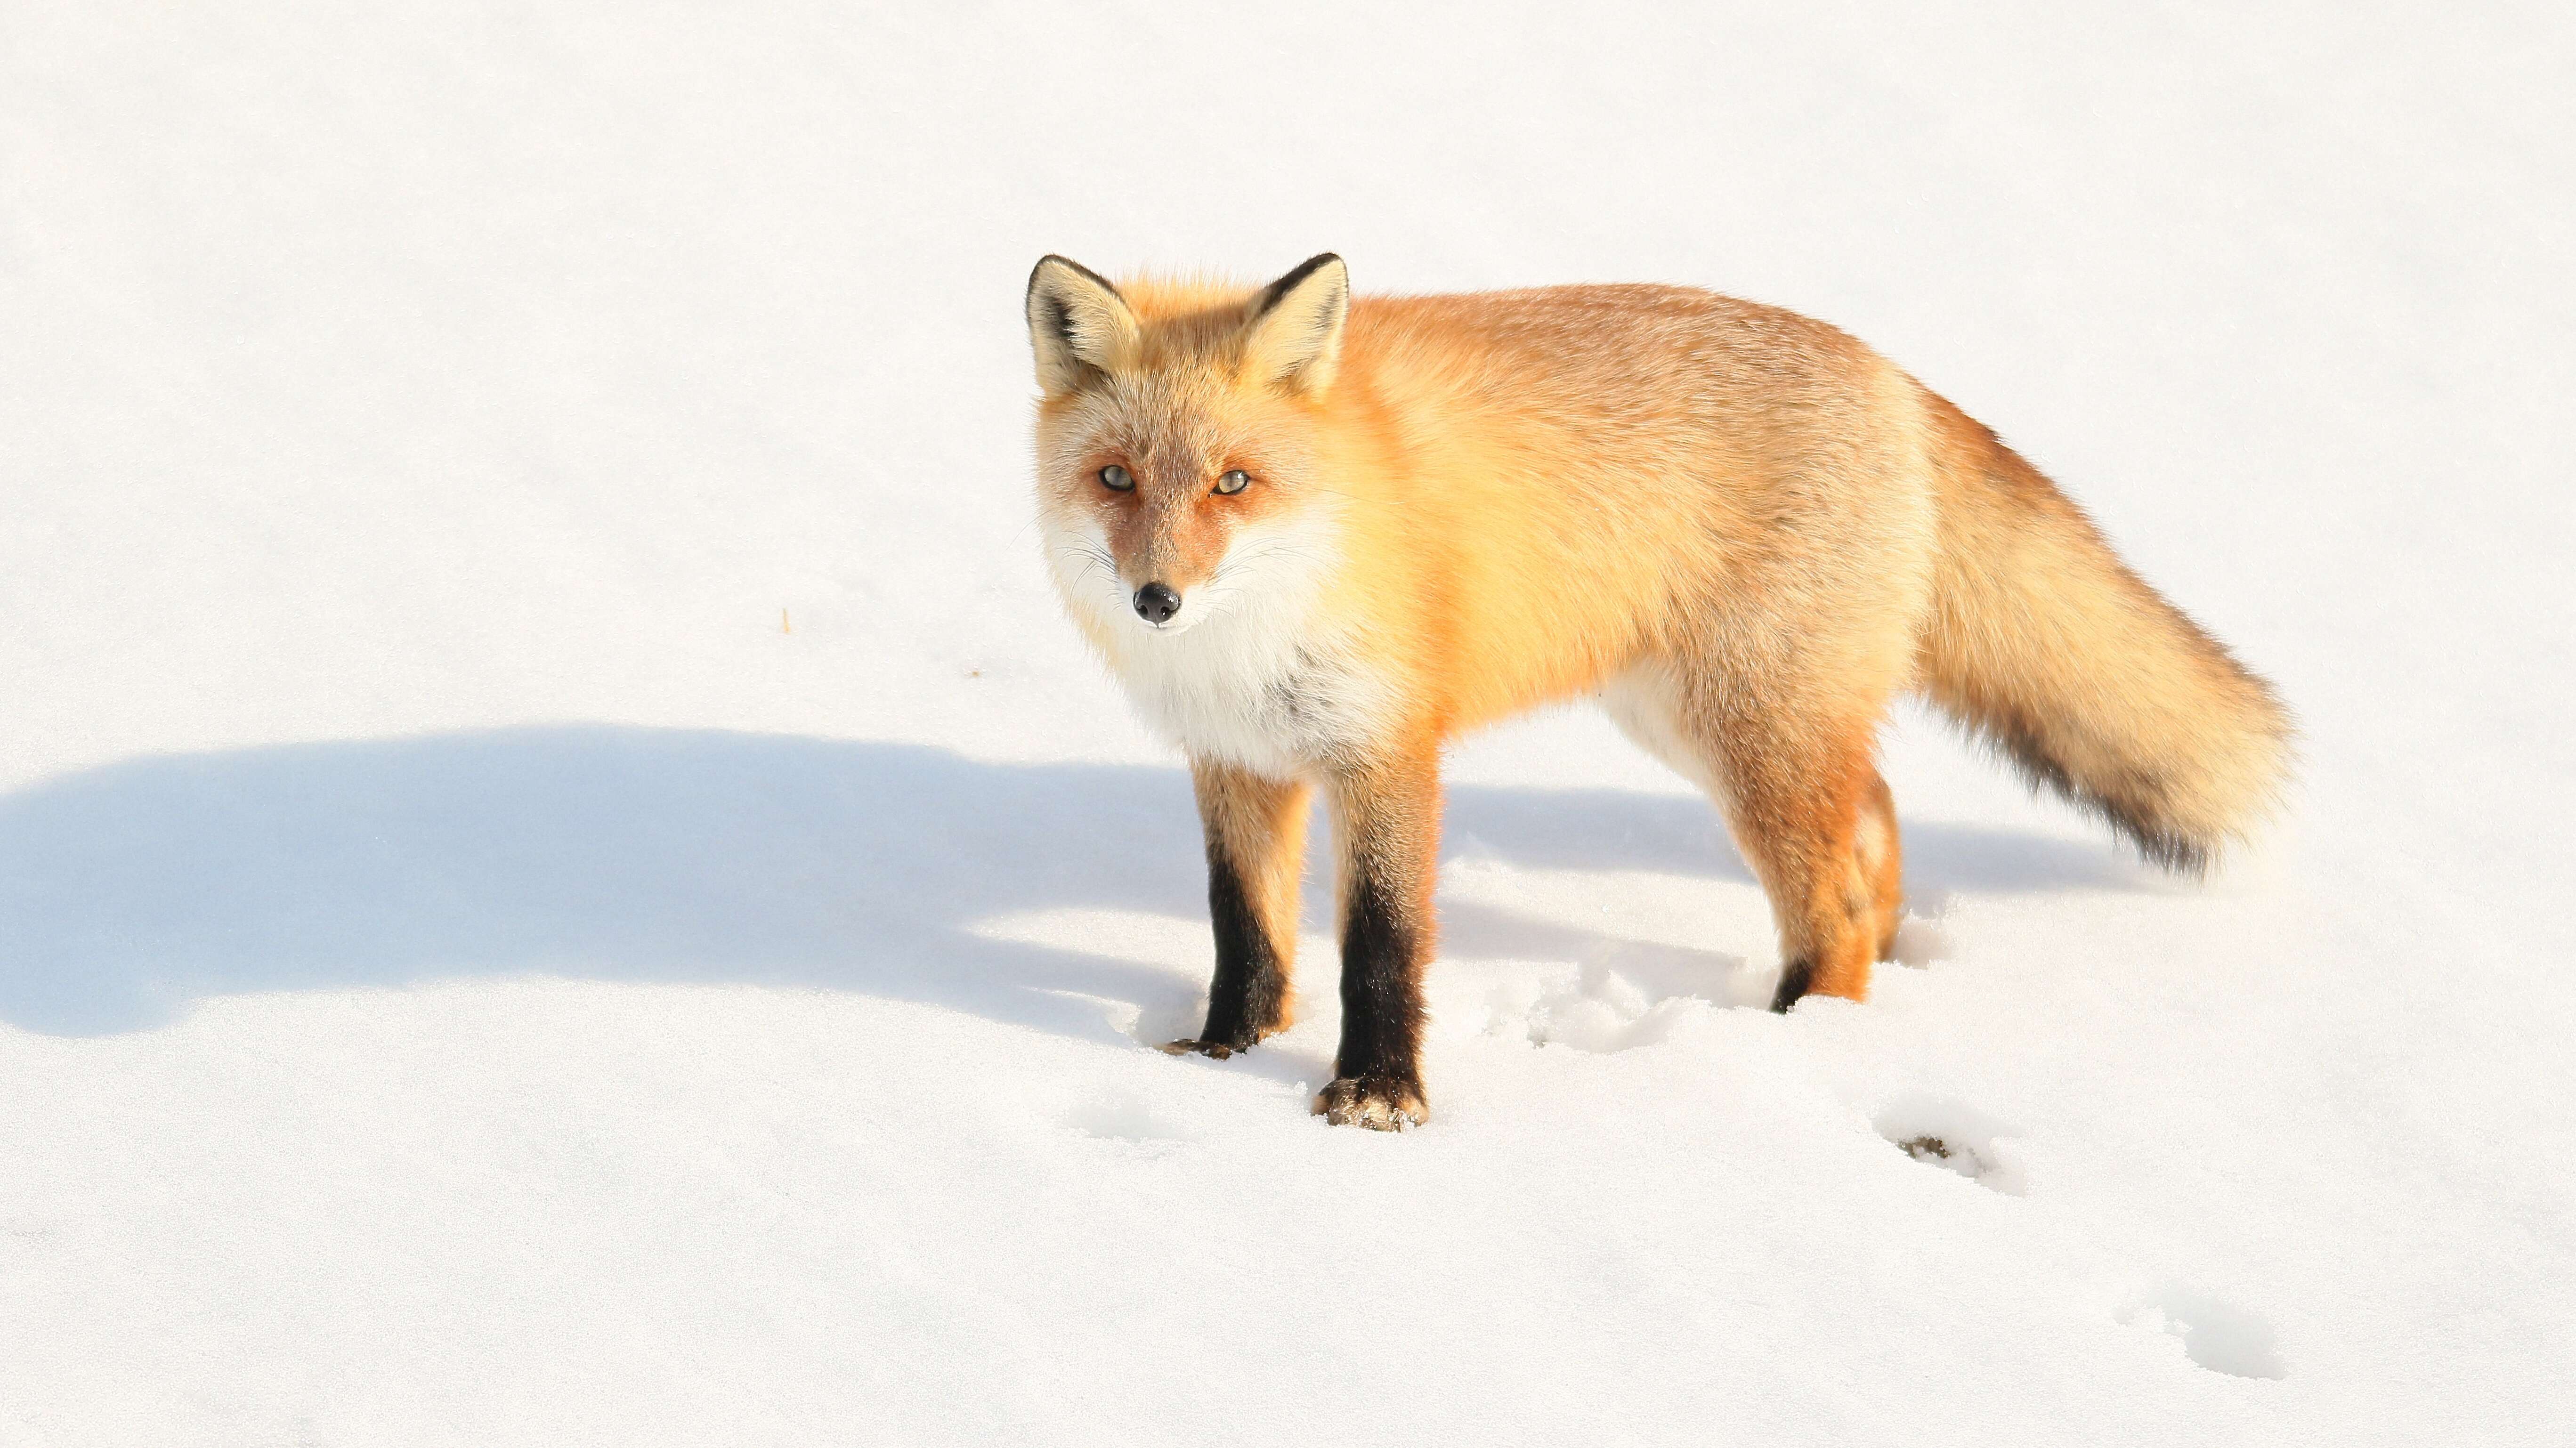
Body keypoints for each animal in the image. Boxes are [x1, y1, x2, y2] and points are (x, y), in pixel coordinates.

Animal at [1025, 251, 2298, 1128]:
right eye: (1116, 479)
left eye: (1233, 483)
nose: (1156, 600)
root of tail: (1888, 374)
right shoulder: (1237, 759)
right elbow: (1244, 931)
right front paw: (1223, 1056)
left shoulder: (1386, 752)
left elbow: (1381, 941)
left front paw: (1378, 1096)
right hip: (1696, 722)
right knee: (1875, 825)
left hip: (1746, 739)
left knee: (1835, 897)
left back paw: (1796, 1040)